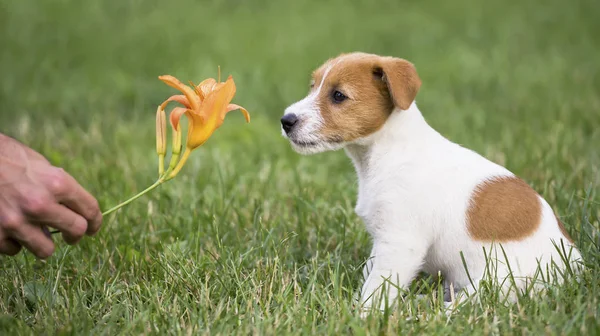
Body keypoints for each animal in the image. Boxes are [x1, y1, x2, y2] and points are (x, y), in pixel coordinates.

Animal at [284, 51, 584, 312]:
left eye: (338, 95)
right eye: (312, 87)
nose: (286, 120)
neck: (388, 153)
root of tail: (576, 271)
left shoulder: (400, 243)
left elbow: (376, 290)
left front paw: (362, 316)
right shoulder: (382, 242)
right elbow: (369, 277)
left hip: (497, 283)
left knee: (458, 308)